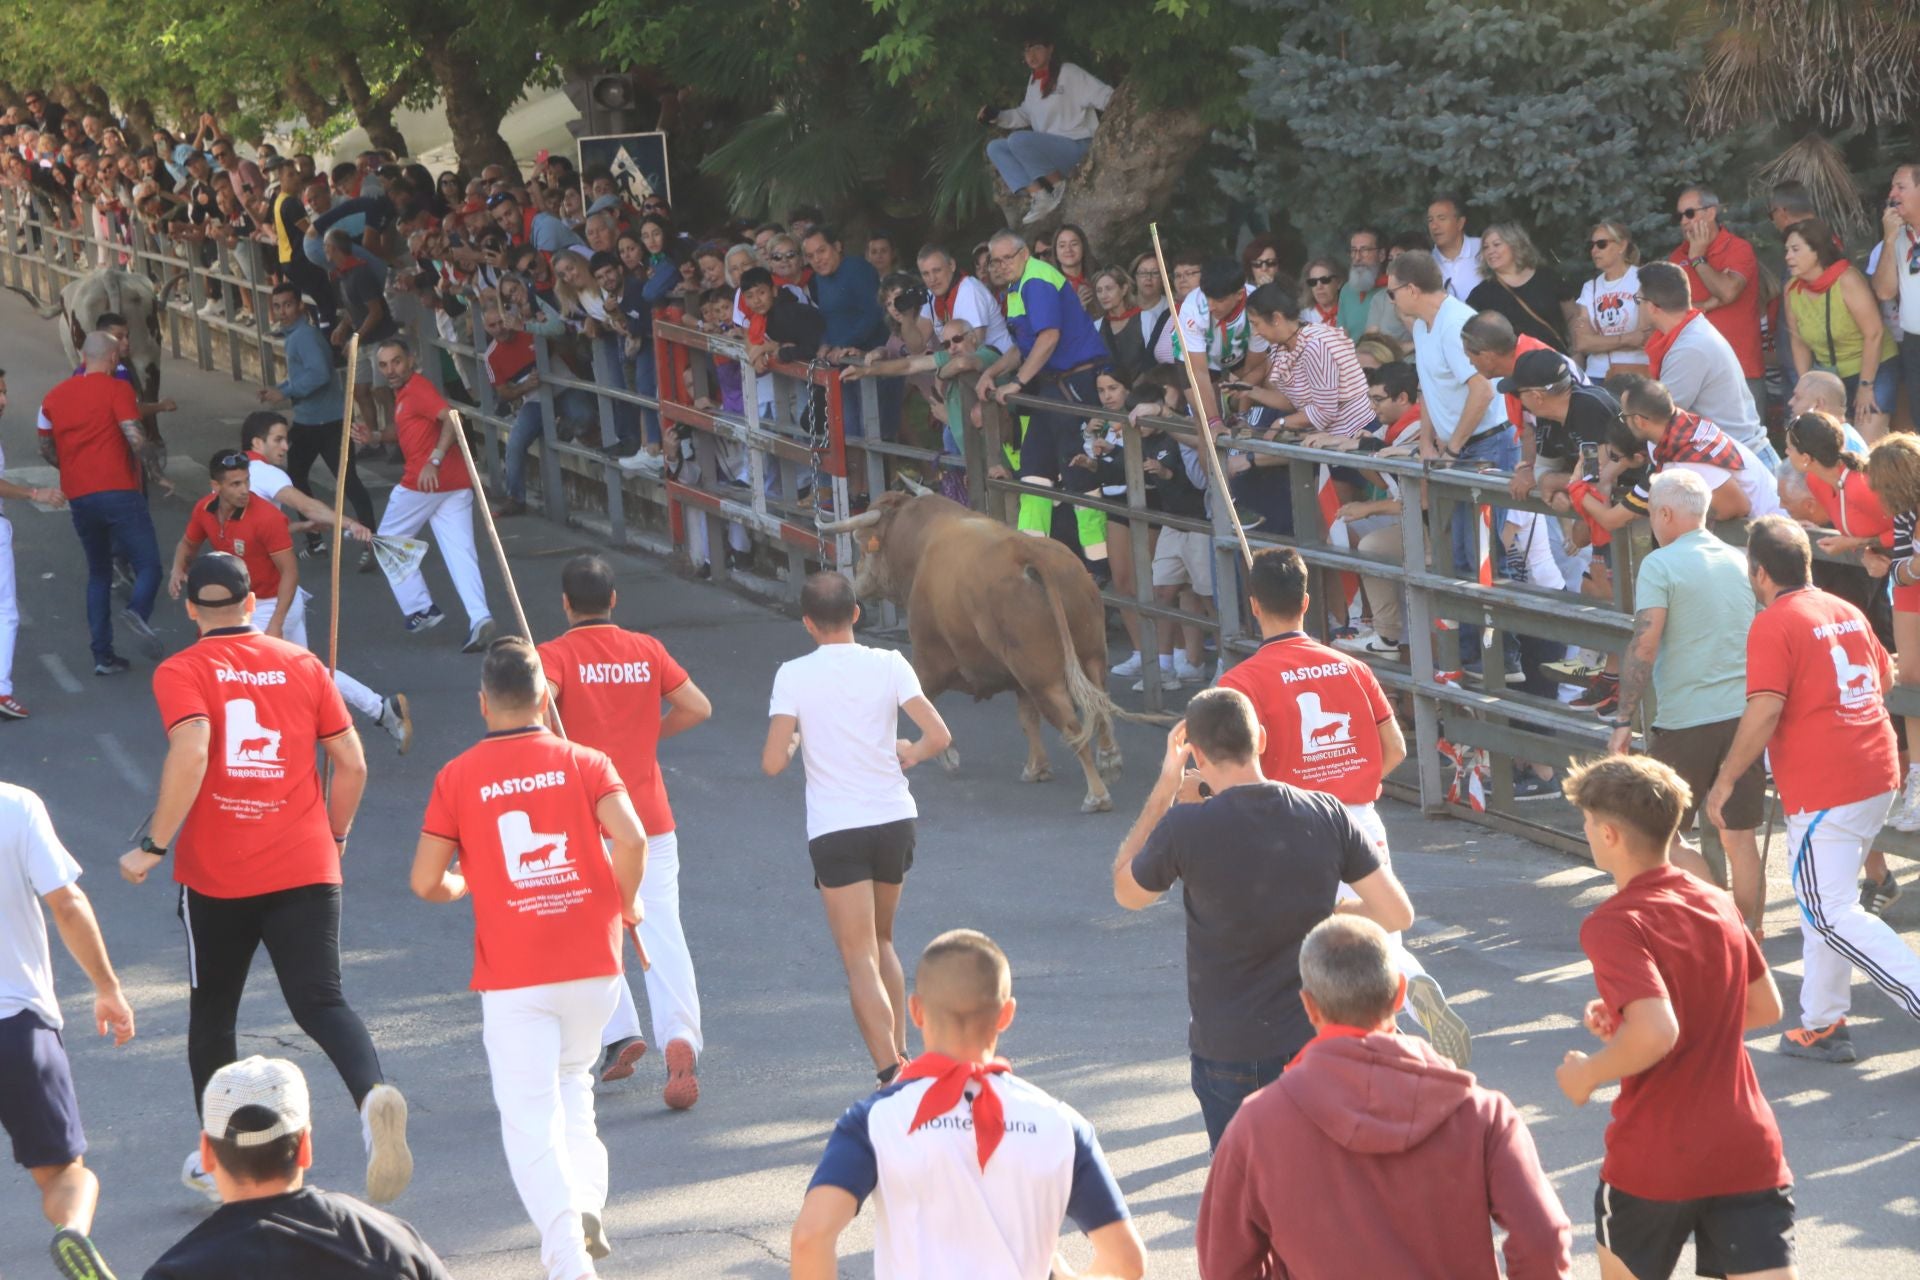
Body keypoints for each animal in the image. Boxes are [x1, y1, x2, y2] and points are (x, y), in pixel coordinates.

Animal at [825, 491, 1121, 809]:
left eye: (862, 544)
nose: (855, 579)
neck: (920, 542)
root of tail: (1027, 552)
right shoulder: (1017, 679)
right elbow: (1027, 718)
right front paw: (1037, 768)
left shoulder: (929, 656)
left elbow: (926, 702)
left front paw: (948, 754)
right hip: (1088, 657)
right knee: (1100, 707)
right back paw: (1109, 760)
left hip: (1043, 678)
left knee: (1072, 727)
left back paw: (1097, 795)